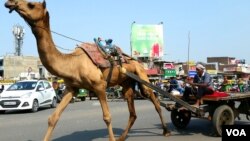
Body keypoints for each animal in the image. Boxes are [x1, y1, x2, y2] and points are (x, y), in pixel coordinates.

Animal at [4, 0, 171, 140]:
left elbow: (107, 117)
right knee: (133, 111)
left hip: (141, 76)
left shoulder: (99, 86)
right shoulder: (71, 88)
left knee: (154, 99)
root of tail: (136, 61)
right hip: (127, 83)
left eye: (31, 5)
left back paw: (166, 130)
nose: (10, 2)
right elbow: (53, 118)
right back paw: (122, 137)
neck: (72, 63)